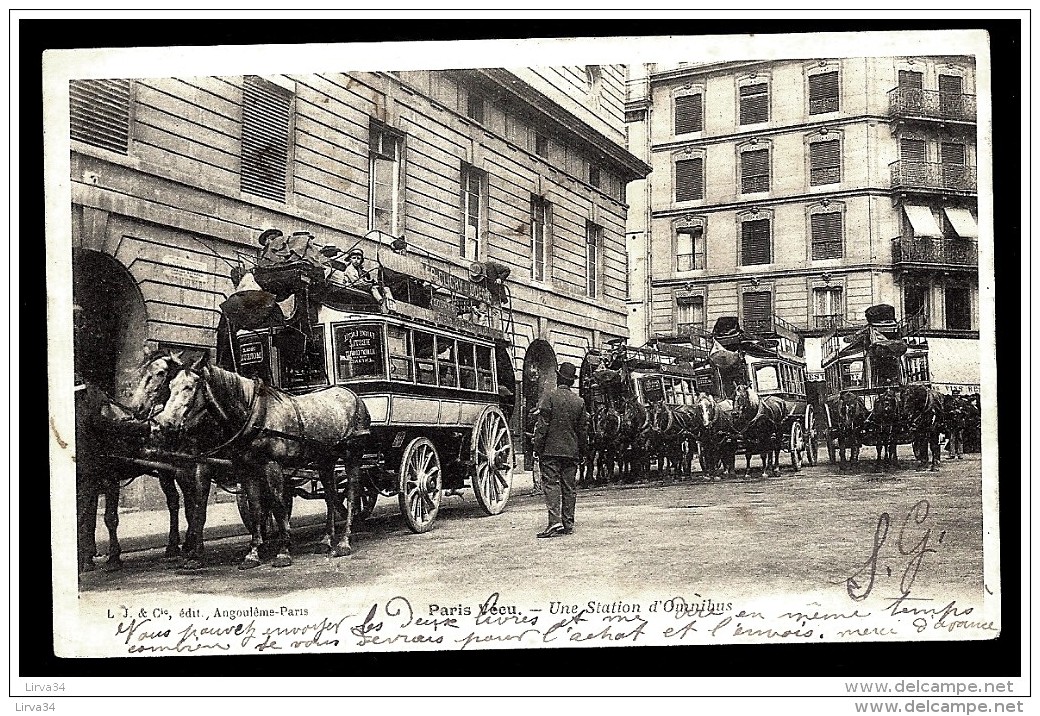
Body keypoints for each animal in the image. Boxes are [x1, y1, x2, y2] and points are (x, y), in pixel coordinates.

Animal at [151, 353, 368, 570]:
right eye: (170, 386)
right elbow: (255, 507)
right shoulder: (247, 470)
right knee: (331, 496)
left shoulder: (273, 466)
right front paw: (253, 553)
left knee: (352, 493)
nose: (163, 423)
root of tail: (352, 395)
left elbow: (278, 505)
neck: (255, 414)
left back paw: (344, 542)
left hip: (352, 455)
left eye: (189, 387)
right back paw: (326, 541)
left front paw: (283, 551)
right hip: (325, 459)